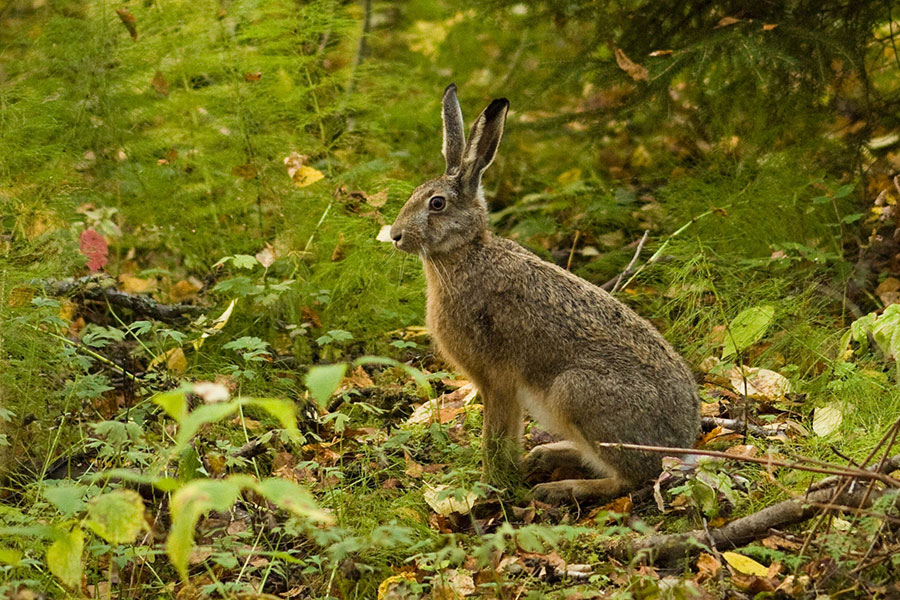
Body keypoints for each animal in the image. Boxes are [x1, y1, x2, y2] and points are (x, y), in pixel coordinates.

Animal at [389, 84, 701, 504]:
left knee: (632, 478)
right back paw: (544, 456)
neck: (468, 251)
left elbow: (494, 436)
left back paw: (560, 487)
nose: (395, 235)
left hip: (575, 393)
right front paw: (508, 474)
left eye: (436, 204)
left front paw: (491, 484)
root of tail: (680, 445)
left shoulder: (495, 380)